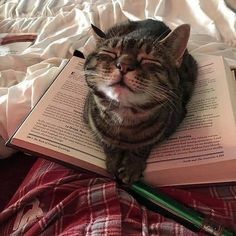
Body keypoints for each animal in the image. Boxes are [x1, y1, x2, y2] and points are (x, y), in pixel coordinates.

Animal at [83, 18, 197, 184]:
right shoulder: (91, 122)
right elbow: (107, 143)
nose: (123, 65)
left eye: (148, 60)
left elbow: (143, 147)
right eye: (109, 53)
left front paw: (132, 166)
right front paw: (113, 161)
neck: (123, 118)